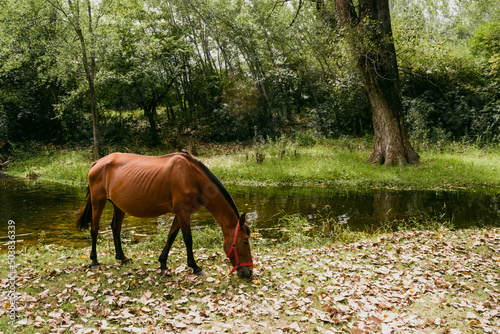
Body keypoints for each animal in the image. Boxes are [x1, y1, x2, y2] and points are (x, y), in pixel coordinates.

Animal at [75, 153, 254, 278]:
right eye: (244, 242)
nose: (248, 272)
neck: (192, 176)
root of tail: (98, 162)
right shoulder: (183, 212)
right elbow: (188, 239)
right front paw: (195, 267)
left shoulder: (181, 213)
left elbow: (171, 236)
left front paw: (162, 263)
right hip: (98, 201)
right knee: (94, 229)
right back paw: (94, 261)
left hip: (118, 206)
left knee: (115, 228)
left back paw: (122, 257)